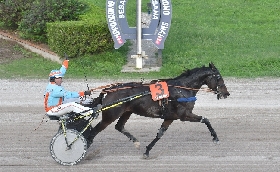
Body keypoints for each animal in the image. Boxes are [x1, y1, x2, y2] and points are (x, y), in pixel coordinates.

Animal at [87, 62, 230, 158]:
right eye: (219, 77)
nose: (226, 93)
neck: (182, 89)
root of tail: (109, 89)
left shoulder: (170, 117)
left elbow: (160, 134)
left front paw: (147, 151)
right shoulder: (184, 114)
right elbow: (205, 119)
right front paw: (215, 137)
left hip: (127, 112)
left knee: (119, 126)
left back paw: (136, 142)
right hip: (110, 115)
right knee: (93, 132)